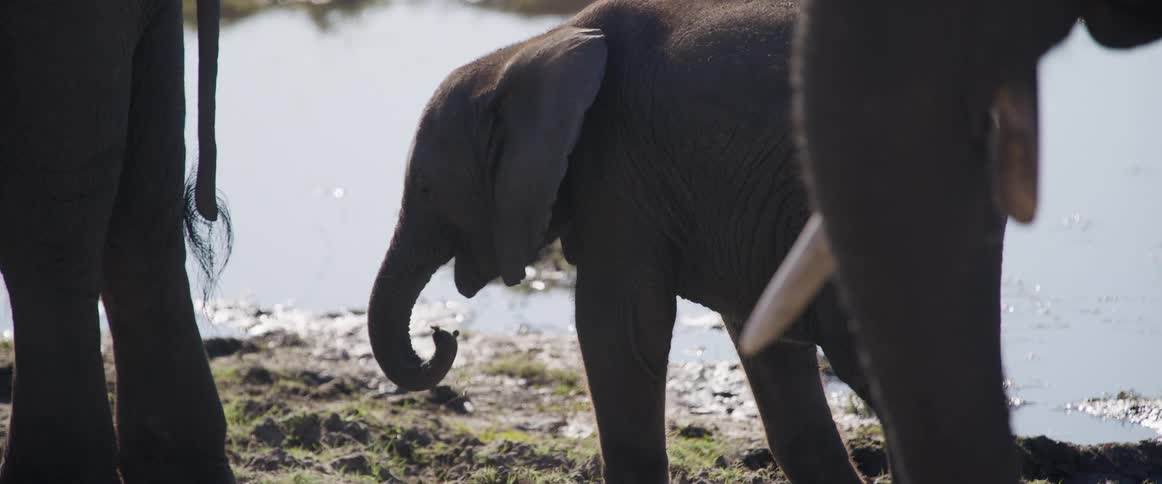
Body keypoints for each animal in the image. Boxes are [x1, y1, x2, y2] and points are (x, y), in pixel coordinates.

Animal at [367, 0, 880, 481]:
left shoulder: (618, 170)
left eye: (426, 188)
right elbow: (765, 345)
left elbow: (619, 332)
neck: (535, 49)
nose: (443, 334)